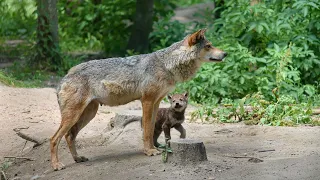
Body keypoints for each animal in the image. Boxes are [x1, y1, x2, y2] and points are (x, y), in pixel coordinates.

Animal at [50, 28, 228, 170]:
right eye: (208, 46)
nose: (225, 53)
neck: (167, 65)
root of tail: (64, 77)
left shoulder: (156, 102)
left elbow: (150, 128)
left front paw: (155, 148)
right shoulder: (147, 101)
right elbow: (147, 131)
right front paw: (149, 151)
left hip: (88, 114)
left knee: (69, 136)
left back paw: (77, 158)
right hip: (74, 115)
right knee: (54, 138)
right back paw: (57, 165)